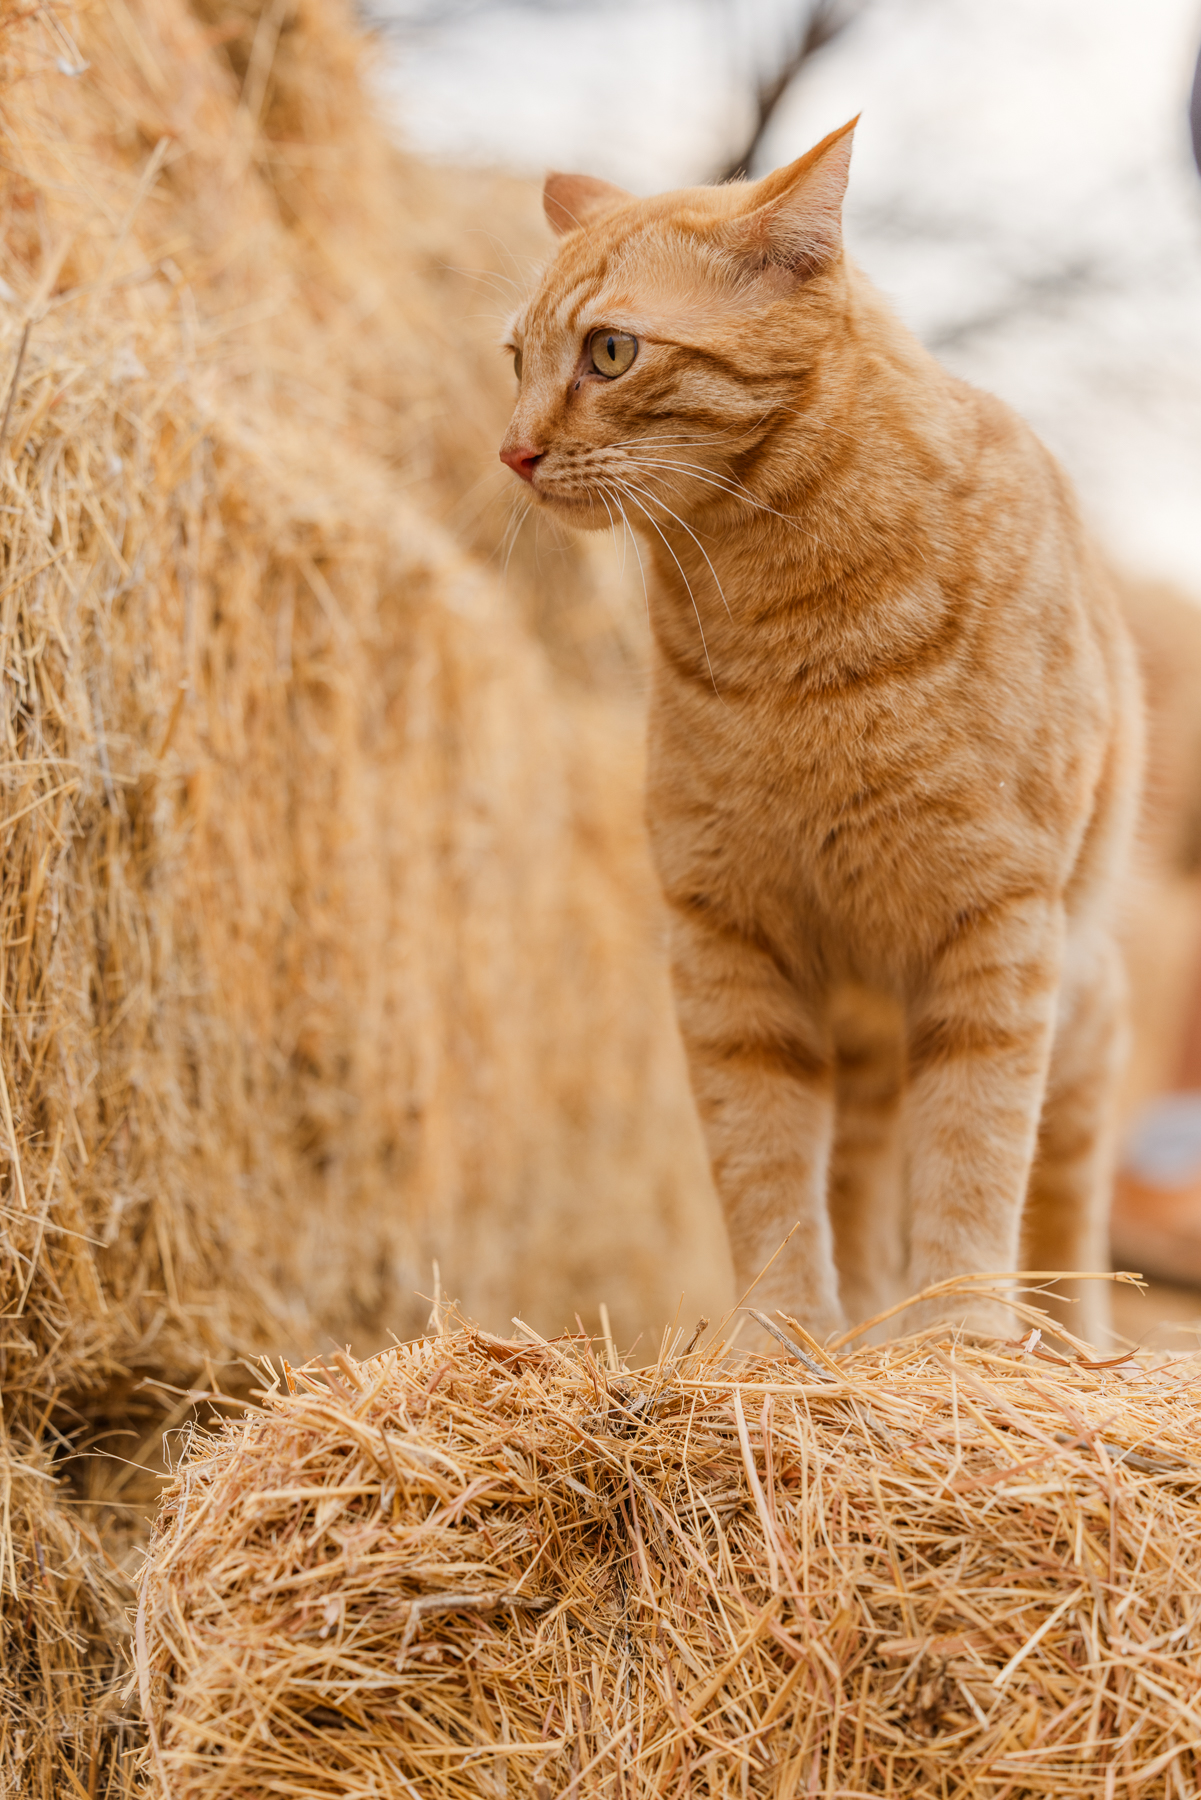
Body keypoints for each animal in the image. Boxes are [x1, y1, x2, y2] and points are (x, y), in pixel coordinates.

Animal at [500, 119, 1145, 1346]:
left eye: (610, 353)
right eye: (514, 361)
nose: (509, 451)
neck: (785, 638)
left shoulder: (995, 928)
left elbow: (976, 1150)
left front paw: (959, 1335)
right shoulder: (726, 939)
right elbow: (761, 1164)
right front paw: (778, 1339)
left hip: (1081, 1011)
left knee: (1065, 1195)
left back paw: (1058, 1340)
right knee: (857, 1171)